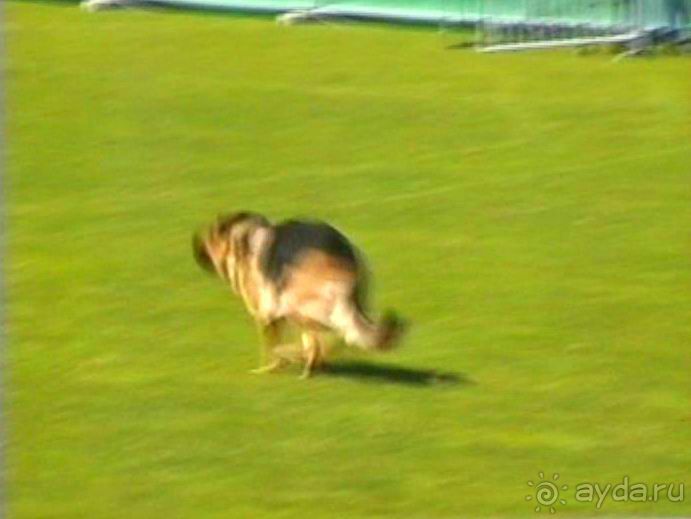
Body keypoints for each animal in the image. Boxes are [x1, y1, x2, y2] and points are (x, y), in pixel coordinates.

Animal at [192, 213, 406, 380]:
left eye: (206, 237)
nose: (194, 245)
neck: (240, 239)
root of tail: (344, 264)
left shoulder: (265, 313)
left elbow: (270, 345)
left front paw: (267, 368)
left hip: (301, 305)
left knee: (333, 335)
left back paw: (298, 358)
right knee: (337, 336)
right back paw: (310, 362)